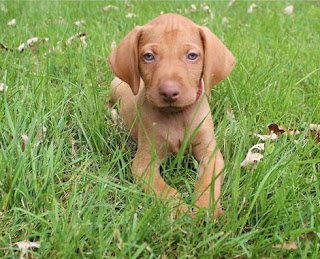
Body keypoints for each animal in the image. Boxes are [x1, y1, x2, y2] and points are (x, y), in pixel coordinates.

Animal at [109, 13, 236, 218]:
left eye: (192, 56)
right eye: (148, 56)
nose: (169, 92)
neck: (176, 116)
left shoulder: (211, 154)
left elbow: (208, 181)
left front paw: (205, 209)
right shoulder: (144, 163)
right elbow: (164, 189)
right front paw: (180, 210)